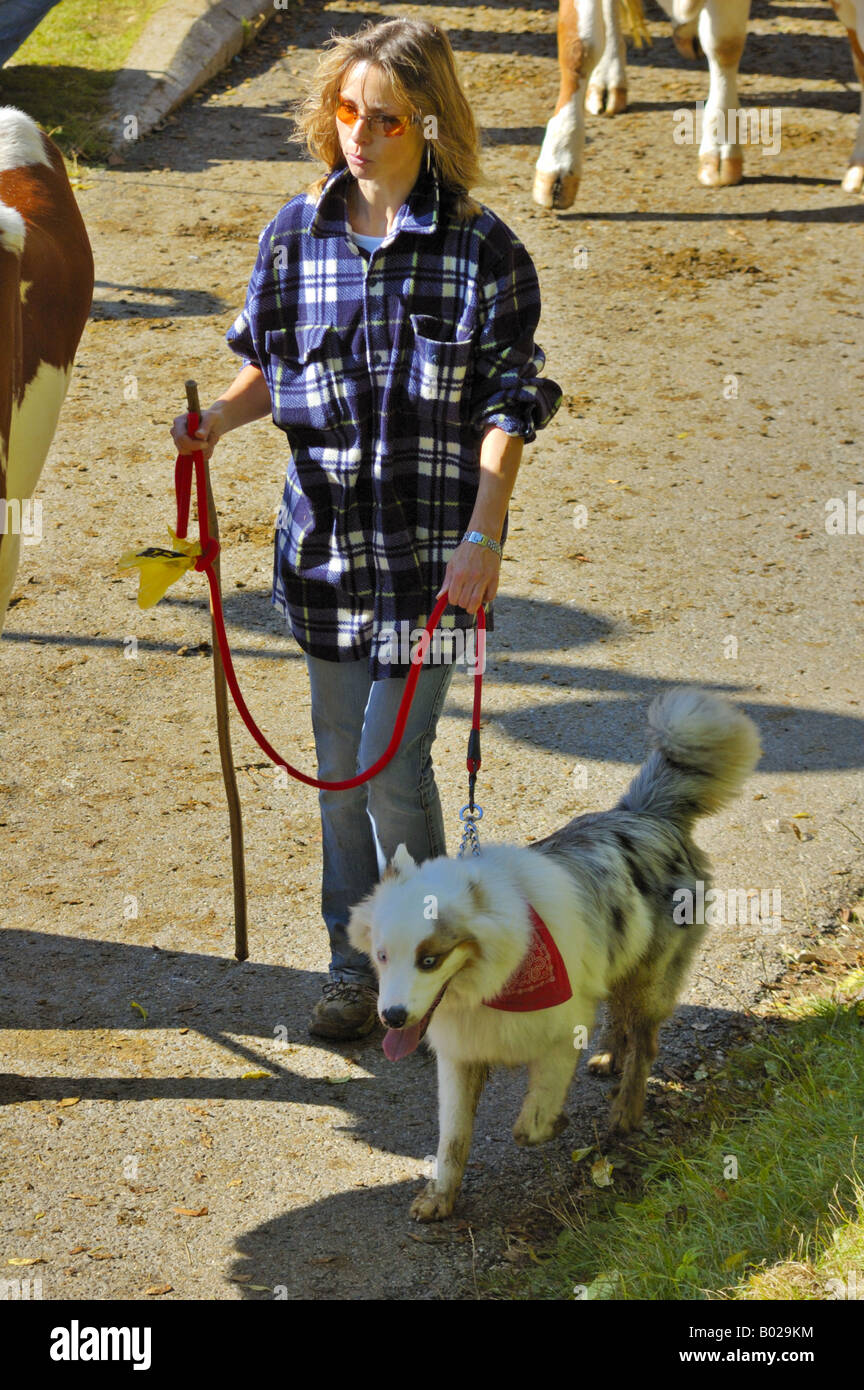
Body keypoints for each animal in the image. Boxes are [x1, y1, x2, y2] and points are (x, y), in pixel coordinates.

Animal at [348, 686, 761, 1217]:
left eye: (429, 959)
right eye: (381, 956)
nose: (393, 1017)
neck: (496, 981)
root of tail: (644, 814)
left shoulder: (561, 1031)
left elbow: (530, 1124)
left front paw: (555, 1125)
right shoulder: (460, 1055)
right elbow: (452, 1138)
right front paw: (441, 1196)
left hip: (650, 977)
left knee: (645, 1041)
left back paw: (626, 1110)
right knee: (618, 1013)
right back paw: (609, 1055)